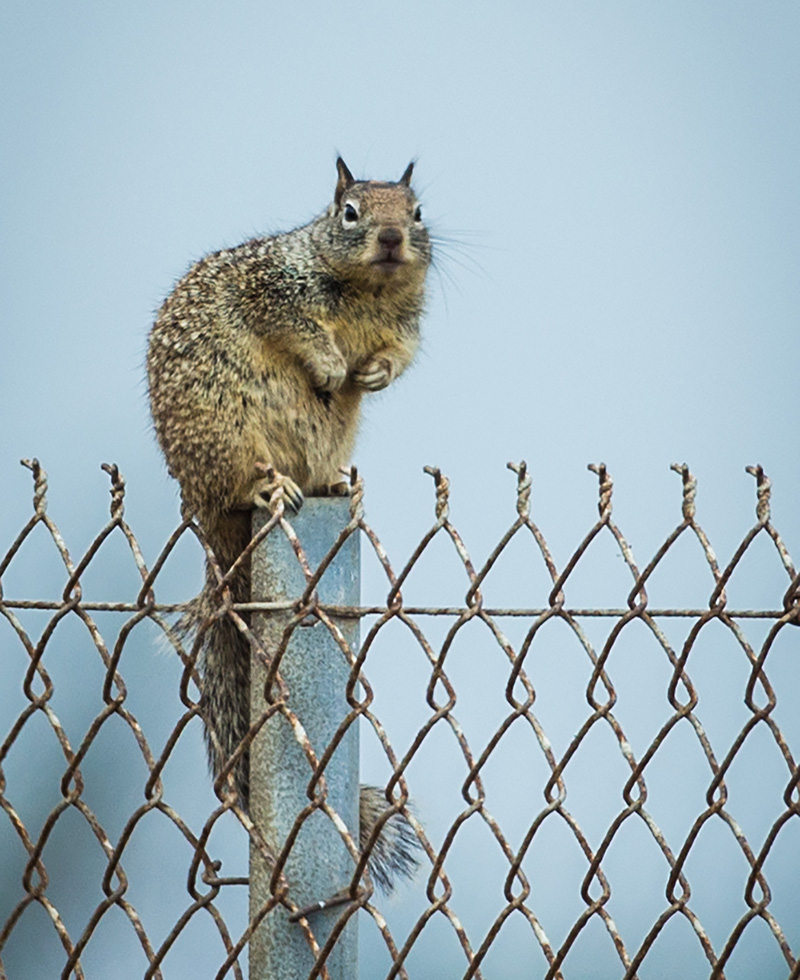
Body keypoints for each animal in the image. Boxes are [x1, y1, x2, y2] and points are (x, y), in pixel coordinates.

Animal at [144, 157, 432, 892]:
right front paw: (331, 365)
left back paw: (333, 484)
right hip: (225, 431)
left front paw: (372, 372)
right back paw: (270, 484)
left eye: (417, 212)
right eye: (349, 212)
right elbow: (298, 329)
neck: (366, 289)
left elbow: (399, 354)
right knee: (243, 481)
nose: (393, 238)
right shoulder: (273, 289)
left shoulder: (406, 326)